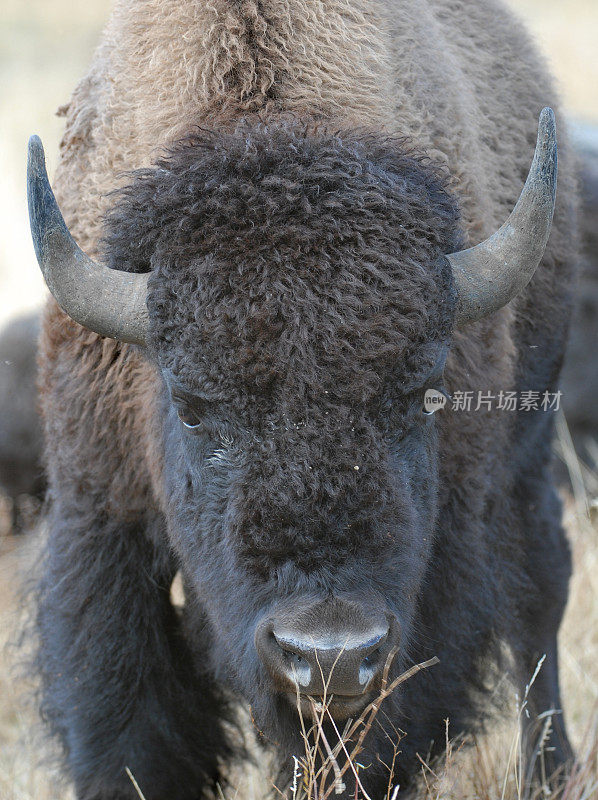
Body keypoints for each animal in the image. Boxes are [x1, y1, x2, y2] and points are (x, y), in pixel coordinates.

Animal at [27, 1, 580, 800]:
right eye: (191, 405)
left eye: (421, 395)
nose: (329, 652)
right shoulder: (99, 510)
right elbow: (129, 725)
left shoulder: (441, 552)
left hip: (529, 443)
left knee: (540, 585)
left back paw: (552, 772)